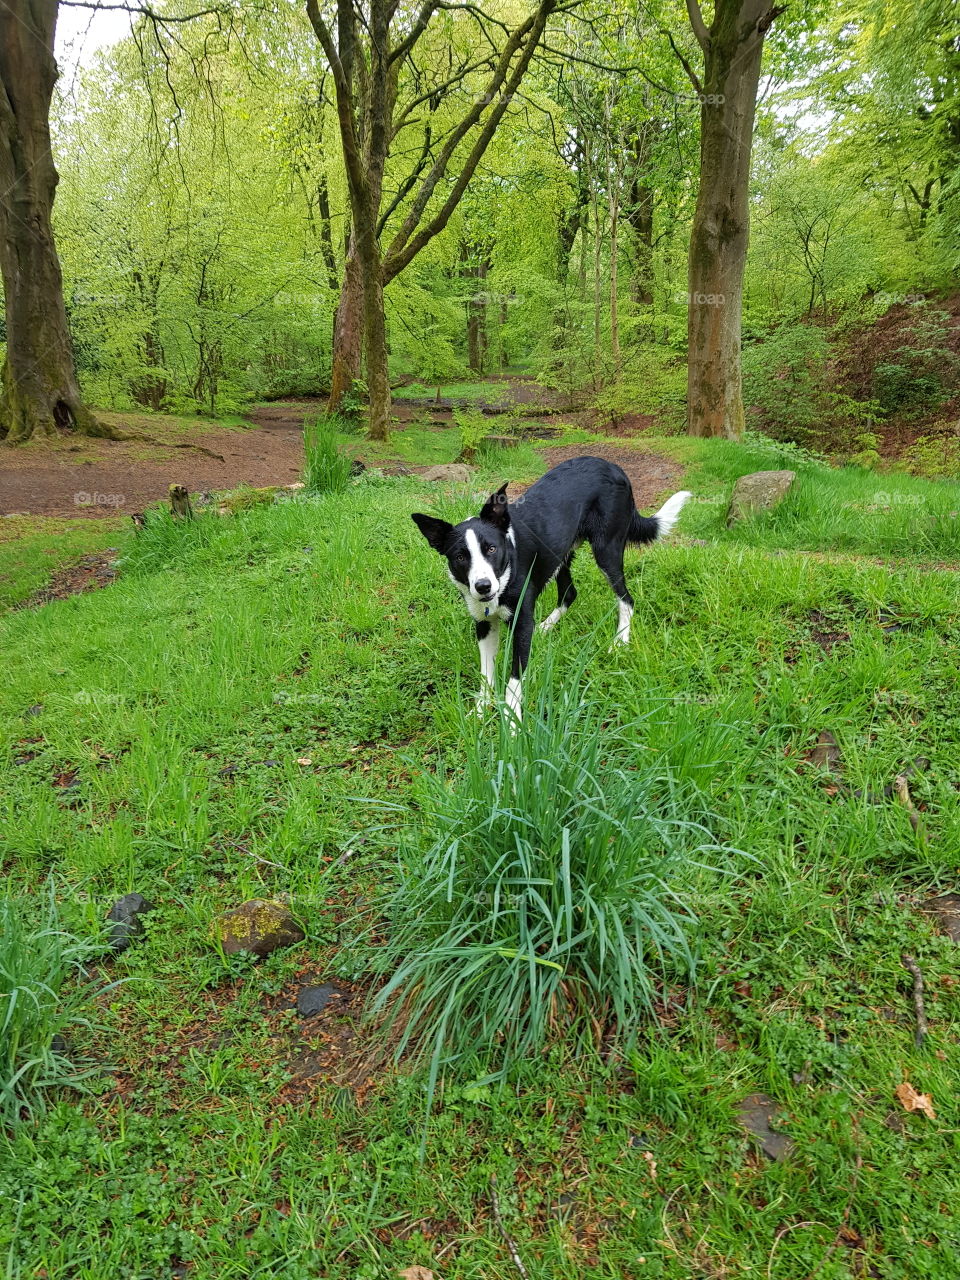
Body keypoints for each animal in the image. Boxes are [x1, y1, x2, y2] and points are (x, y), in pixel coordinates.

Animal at [414, 458, 691, 721]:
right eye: (460, 557)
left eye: (491, 549)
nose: (483, 587)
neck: (506, 573)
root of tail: (615, 468)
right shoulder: (484, 624)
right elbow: (486, 673)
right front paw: (482, 711)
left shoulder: (521, 624)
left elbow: (514, 681)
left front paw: (512, 722)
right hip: (560, 554)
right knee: (570, 592)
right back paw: (546, 626)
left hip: (607, 551)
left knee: (626, 599)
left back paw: (620, 641)